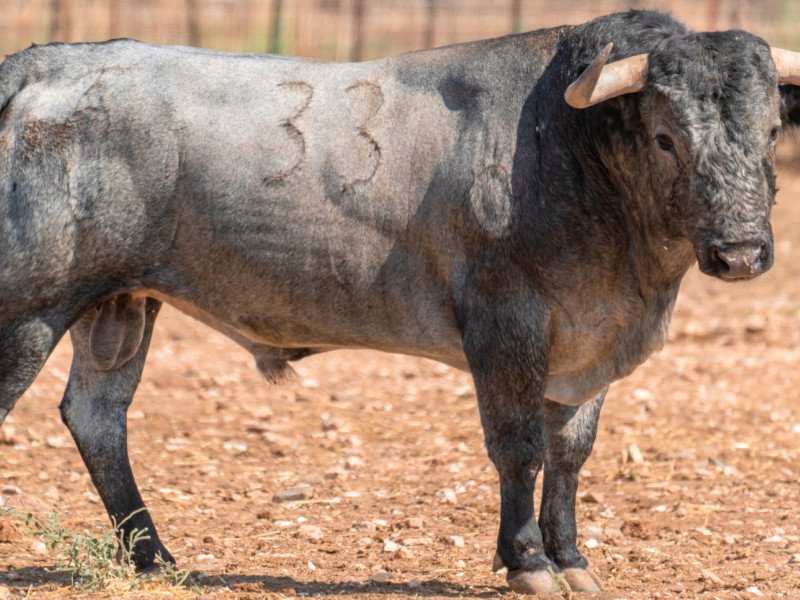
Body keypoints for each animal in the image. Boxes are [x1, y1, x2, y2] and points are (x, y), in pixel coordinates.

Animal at [1, 8, 800, 596]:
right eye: (666, 138)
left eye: (770, 132)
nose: (740, 254)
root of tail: (42, 63)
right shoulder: (505, 322)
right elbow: (519, 447)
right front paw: (528, 561)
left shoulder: (588, 336)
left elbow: (570, 452)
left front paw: (571, 558)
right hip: (33, 305)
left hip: (119, 303)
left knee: (98, 416)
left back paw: (154, 557)